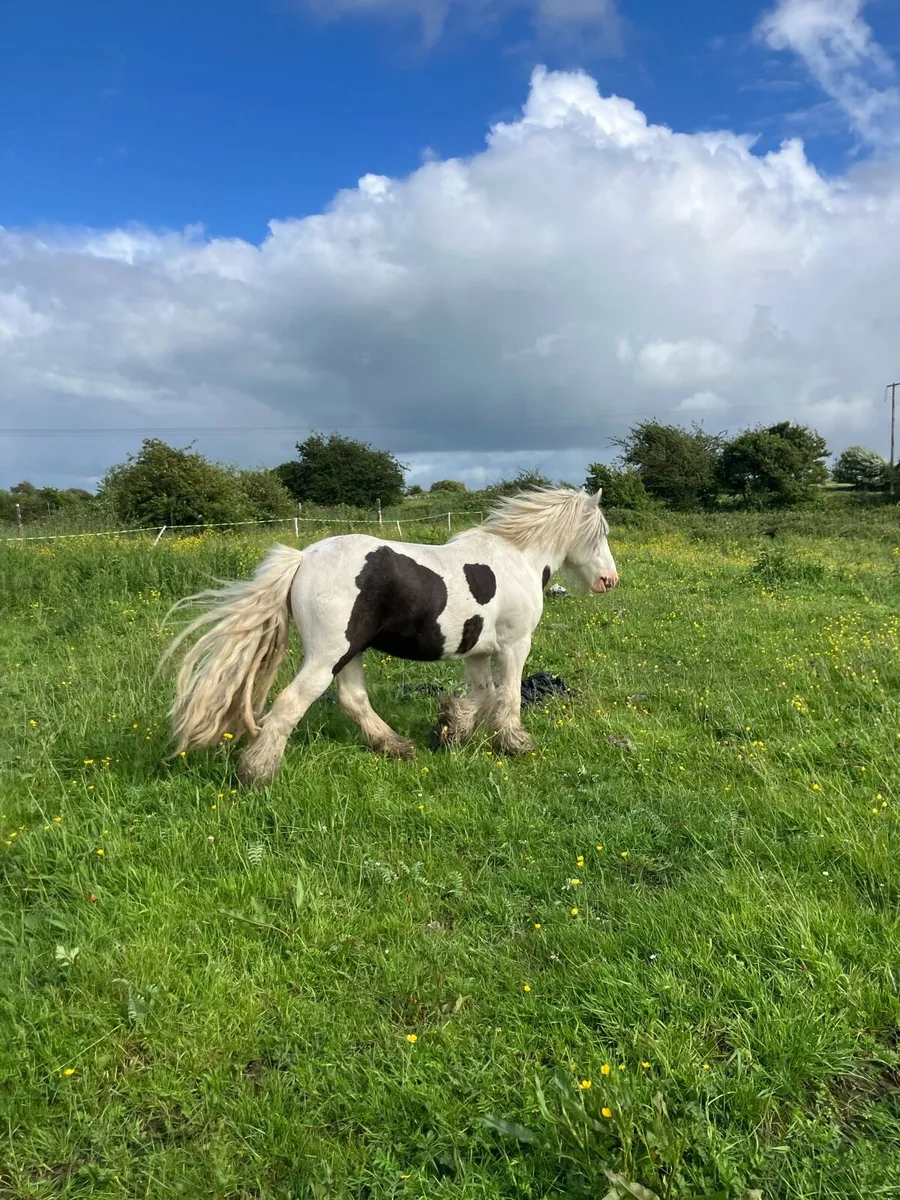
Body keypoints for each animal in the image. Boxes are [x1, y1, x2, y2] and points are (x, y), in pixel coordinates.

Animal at [160, 486, 618, 787]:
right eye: (600, 533)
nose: (609, 581)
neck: (518, 557)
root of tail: (303, 558)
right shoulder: (515, 645)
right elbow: (506, 697)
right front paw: (516, 743)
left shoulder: (476, 652)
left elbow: (483, 696)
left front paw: (451, 727)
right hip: (330, 654)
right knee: (291, 702)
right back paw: (257, 773)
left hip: (350, 653)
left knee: (353, 700)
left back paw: (395, 746)